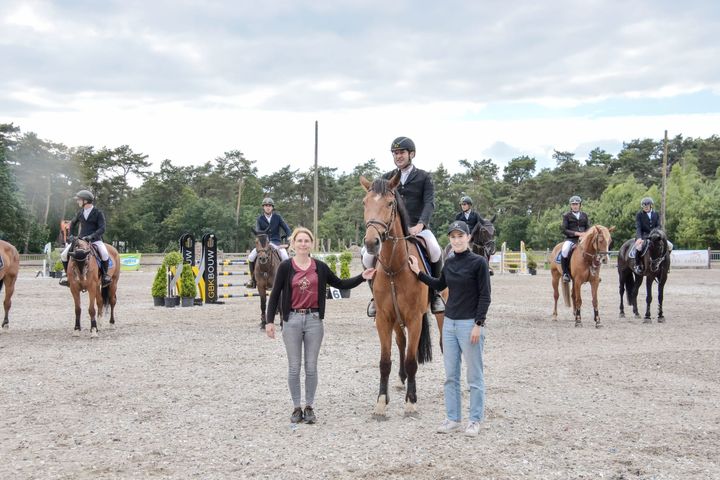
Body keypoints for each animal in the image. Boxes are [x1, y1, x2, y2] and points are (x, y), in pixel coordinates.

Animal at [360, 174, 441, 418]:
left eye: (389, 203)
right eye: (365, 203)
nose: (371, 243)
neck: (394, 269)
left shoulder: (415, 319)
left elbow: (412, 360)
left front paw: (411, 402)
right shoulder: (383, 319)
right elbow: (385, 361)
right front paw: (381, 402)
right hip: (396, 320)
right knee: (401, 342)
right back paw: (401, 379)